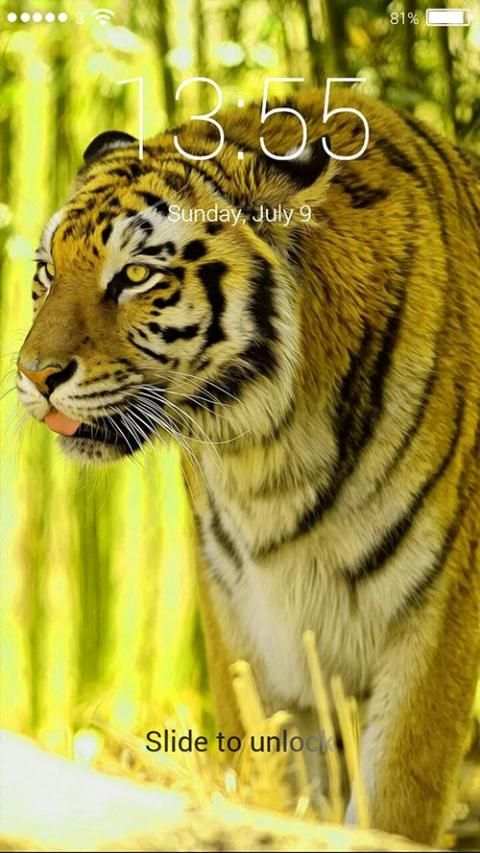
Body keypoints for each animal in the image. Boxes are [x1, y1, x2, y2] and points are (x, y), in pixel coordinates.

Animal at [16, 87, 480, 846]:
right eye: (47, 273)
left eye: (135, 275)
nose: (34, 375)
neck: (267, 454)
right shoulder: (246, 620)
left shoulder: (438, 618)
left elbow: (396, 803)